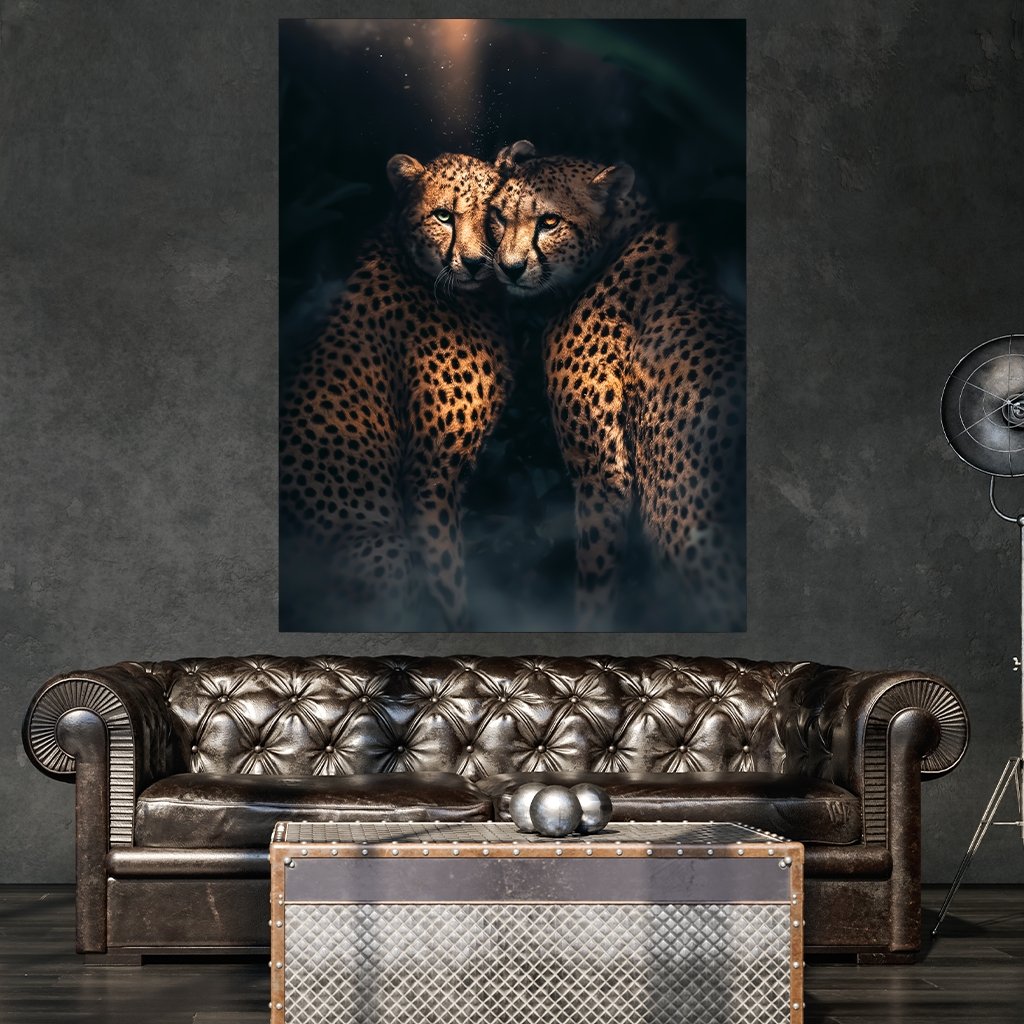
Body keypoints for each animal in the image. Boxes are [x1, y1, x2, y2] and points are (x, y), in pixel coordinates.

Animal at [279, 151, 512, 629]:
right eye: (444, 216)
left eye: (494, 215)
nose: (475, 262)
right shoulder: (430, 474)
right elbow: (447, 577)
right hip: (380, 545)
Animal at [488, 141, 746, 631]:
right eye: (497, 216)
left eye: (549, 221)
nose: (509, 269)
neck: (617, 241)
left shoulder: (601, 475)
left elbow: (595, 579)